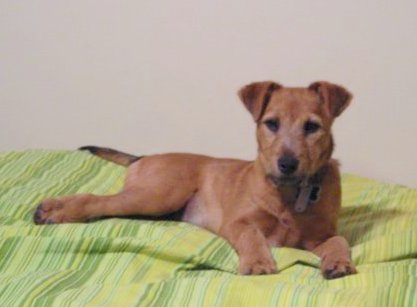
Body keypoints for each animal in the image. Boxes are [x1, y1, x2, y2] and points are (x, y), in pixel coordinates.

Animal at [34, 80, 356, 280]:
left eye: (312, 127)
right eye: (271, 124)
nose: (287, 164)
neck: (289, 194)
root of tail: (143, 157)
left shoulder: (320, 236)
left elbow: (339, 240)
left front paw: (339, 262)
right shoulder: (237, 222)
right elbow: (252, 236)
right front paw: (258, 262)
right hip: (157, 194)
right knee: (96, 200)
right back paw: (53, 210)